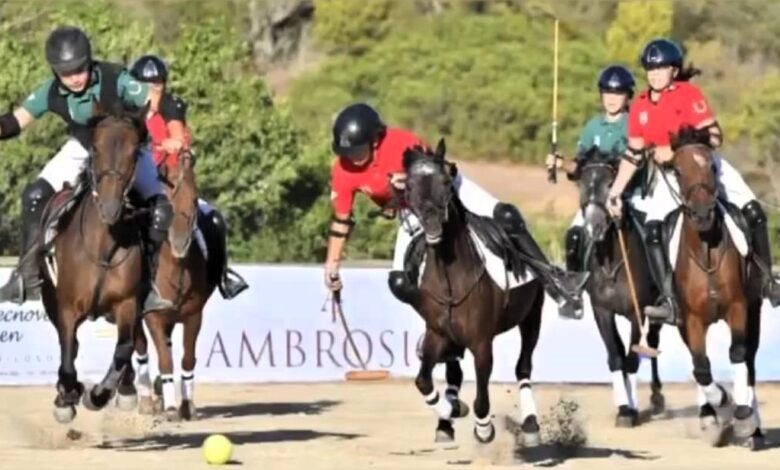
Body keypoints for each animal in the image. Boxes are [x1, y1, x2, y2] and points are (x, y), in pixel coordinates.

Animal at [41, 103, 148, 423]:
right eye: (96, 148)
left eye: (134, 152)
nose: (110, 207)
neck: (102, 249)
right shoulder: (66, 307)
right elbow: (67, 352)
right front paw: (66, 397)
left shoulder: (127, 303)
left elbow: (124, 347)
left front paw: (101, 393)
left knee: (134, 341)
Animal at [132, 148, 215, 421]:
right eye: (165, 199)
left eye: (194, 199)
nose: (179, 243)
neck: (176, 268)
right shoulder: (153, 316)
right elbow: (164, 360)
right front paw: (169, 408)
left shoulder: (194, 316)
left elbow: (187, 359)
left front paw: (187, 405)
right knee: (142, 350)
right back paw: (146, 399)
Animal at [403, 139, 544, 446]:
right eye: (409, 186)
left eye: (445, 181)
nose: (431, 224)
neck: (450, 278)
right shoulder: (437, 334)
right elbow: (423, 381)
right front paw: (451, 411)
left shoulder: (481, 342)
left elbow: (482, 395)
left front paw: (483, 428)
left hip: (532, 316)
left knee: (524, 367)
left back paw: (530, 424)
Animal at [574, 146, 664, 427]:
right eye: (582, 183)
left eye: (609, 183)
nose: (594, 227)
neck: (612, 263)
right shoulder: (602, 311)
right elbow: (616, 356)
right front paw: (623, 406)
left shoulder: (638, 312)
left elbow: (633, 358)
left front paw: (631, 410)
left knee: (652, 343)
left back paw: (657, 398)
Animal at [667, 127, 763, 449]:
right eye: (677, 170)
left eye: (711, 166)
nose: (702, 214)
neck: (707, 248)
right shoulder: (692, 320)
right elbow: (700, 365)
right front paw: (719, 402)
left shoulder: (738, 308)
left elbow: (738, 354)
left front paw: (743, 415)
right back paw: (711, 413)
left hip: (754, 310)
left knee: (749, 358)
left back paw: (753, 427)